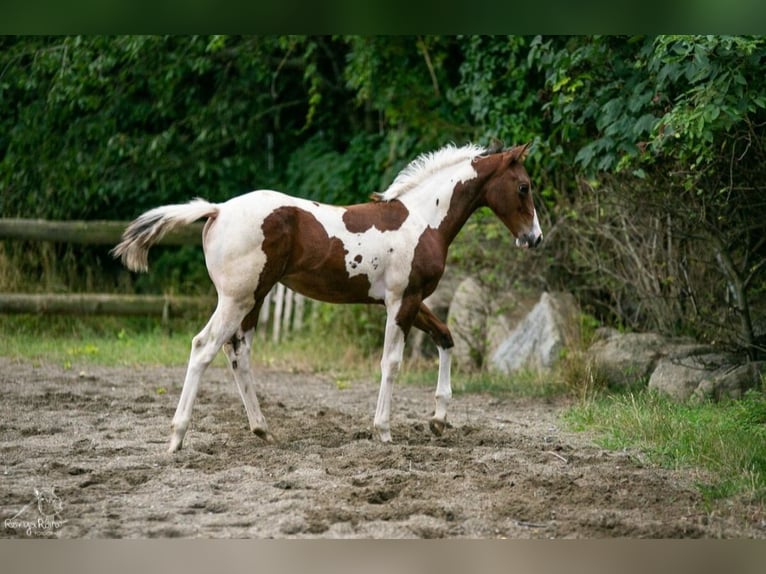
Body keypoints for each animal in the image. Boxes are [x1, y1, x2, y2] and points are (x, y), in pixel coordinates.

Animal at [115, 142, 544, 452]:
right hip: (237, 299)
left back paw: (263, 431)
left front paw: (438, 421)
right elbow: (392, 363)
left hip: (253, 300)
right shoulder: (401, 302)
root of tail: (217, 210)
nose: (535, 238)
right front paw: (383, 430)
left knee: (237, 353)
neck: (423, 220)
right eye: (523, 187)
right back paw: (177, 437)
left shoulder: (412, 300)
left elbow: (446, 337)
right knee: (203, 346)